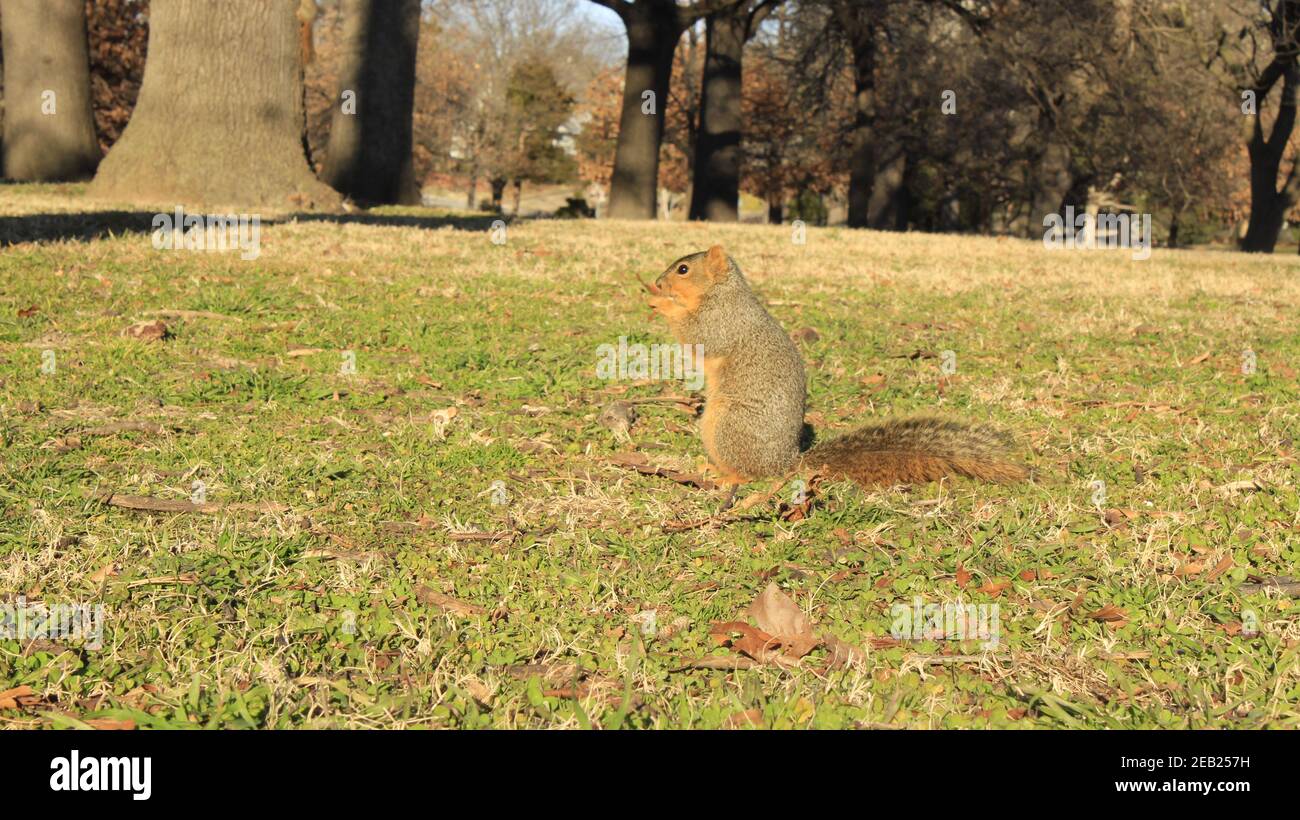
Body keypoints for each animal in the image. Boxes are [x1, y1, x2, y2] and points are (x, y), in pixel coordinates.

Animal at [644, 245, 1027, 508]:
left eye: (683, 269)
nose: (659, 282)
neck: (723, 292)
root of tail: (787, 461)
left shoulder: (723, 321)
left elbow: (698, 334)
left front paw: (659, 302)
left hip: (728, 426)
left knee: (751, 473)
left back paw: (724, 477)